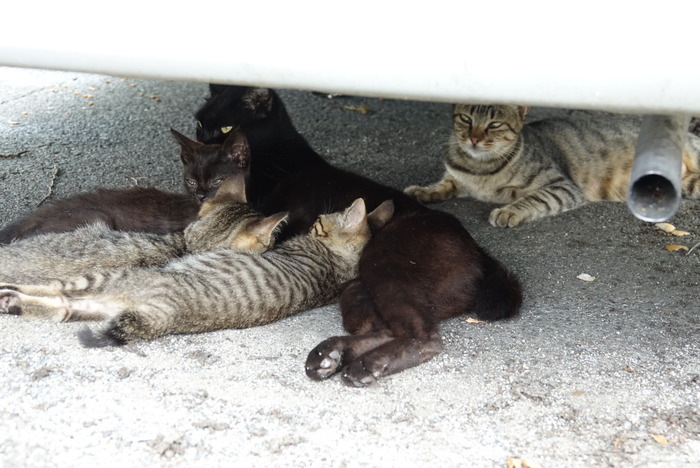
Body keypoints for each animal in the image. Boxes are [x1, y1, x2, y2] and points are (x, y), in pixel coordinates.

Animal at [0, 198, 392, 347]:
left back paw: (8, 293)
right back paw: (12, 302)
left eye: (321, 224)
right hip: (94, 304)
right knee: (61, 307)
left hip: (106, 279)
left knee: (54, 290)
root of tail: (164, 316)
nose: (312, 222)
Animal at [194, 85, 523, 387]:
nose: (202, 142)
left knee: (424, 336)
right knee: (388, 330)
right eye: (199, 123)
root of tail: (479, 251)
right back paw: (330, 356)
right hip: (359, 289)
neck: (276, 156)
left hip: (384, 265)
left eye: (226, 128)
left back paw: (365, 367)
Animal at [404, 105, 700, 227]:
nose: (474, 138)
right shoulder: (457, 177)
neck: (479, 168)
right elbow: (444, 183)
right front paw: (424, 191)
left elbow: (535, 199)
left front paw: (509, 211)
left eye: (494, 124)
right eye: (465, 119)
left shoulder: (561, 186)